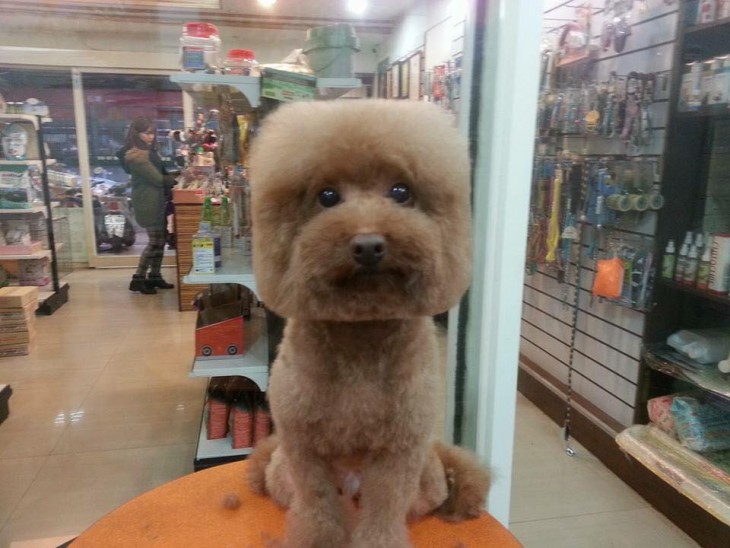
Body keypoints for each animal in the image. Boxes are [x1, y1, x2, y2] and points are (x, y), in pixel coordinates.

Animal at [246, 99, 490, 548]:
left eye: (401, 192)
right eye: (327, 196)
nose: (368, 245)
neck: (361, 327)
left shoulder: (400, 449)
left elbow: (384, 512)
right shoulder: (302, 447)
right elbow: (318, 509)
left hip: (425, 482)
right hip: (283, 476)